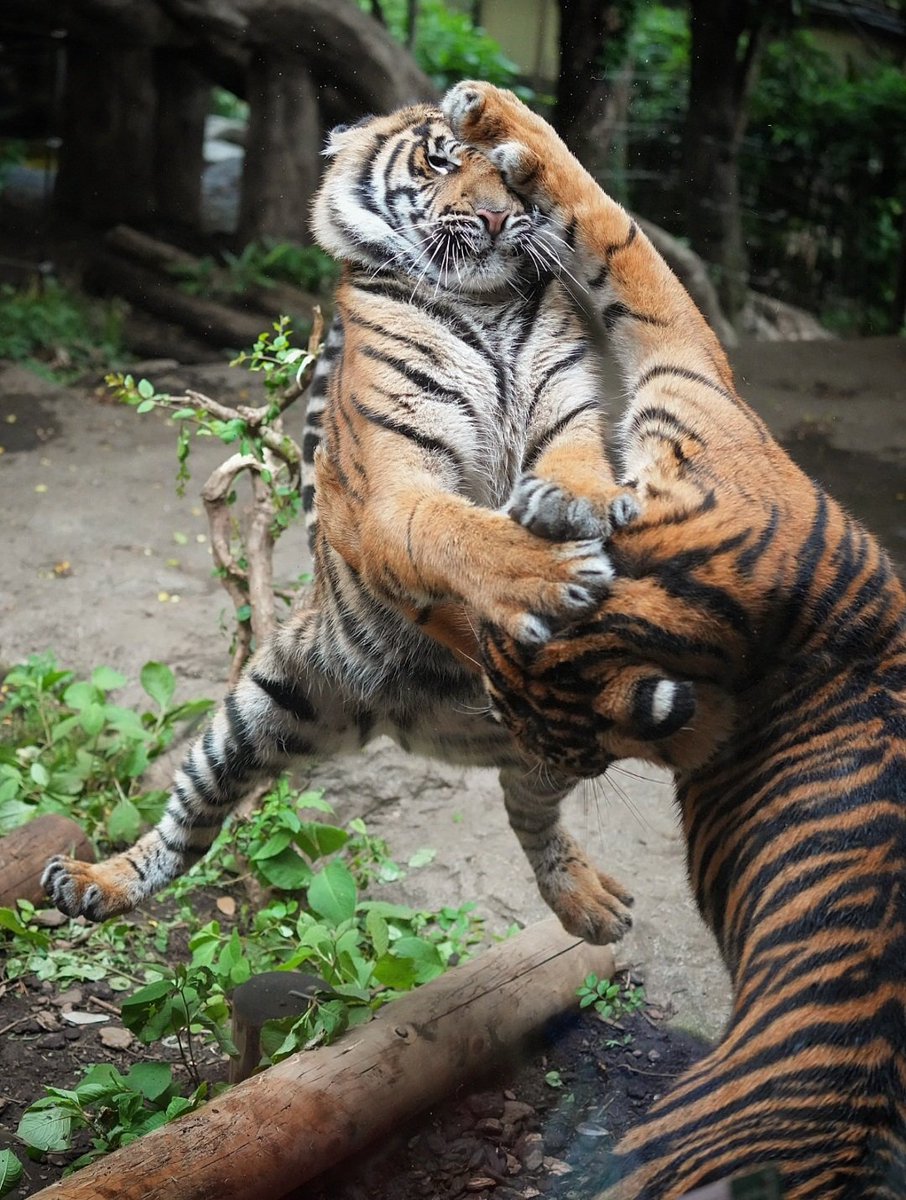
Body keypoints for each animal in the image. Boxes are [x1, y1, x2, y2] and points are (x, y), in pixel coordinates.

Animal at [42, 101, 655, 949]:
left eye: (513, 174)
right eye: (441, 161)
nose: (500, 217)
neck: (486, 303)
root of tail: (409, 725)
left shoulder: (566, 410)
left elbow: (575, 463)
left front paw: (585, 507)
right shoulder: (394, 486)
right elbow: (455, 529)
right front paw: (554, 571)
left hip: (556, 747)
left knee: (529, 809)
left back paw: (588, 902)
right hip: (258, 709)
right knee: (185, 826)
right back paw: (92, 882)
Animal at [368, 82, 905, 1198]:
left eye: (571, 756)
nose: (530, 776)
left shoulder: (688, 371)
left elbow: (618, 232)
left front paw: (497, 120)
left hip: (663, 1140)